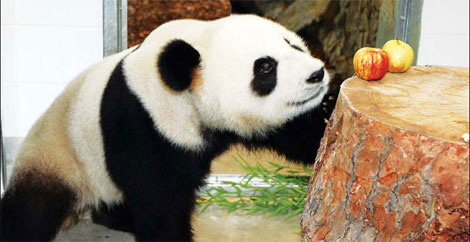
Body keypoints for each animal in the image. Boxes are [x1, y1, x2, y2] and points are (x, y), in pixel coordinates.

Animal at [0, 14, 330, 240]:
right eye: (265, 67)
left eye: (294, 45)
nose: (317, 74)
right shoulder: (141, 121)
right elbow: (159, 201)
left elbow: (303, 135)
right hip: (59, 156)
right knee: (31, 211)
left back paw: (118, 219)